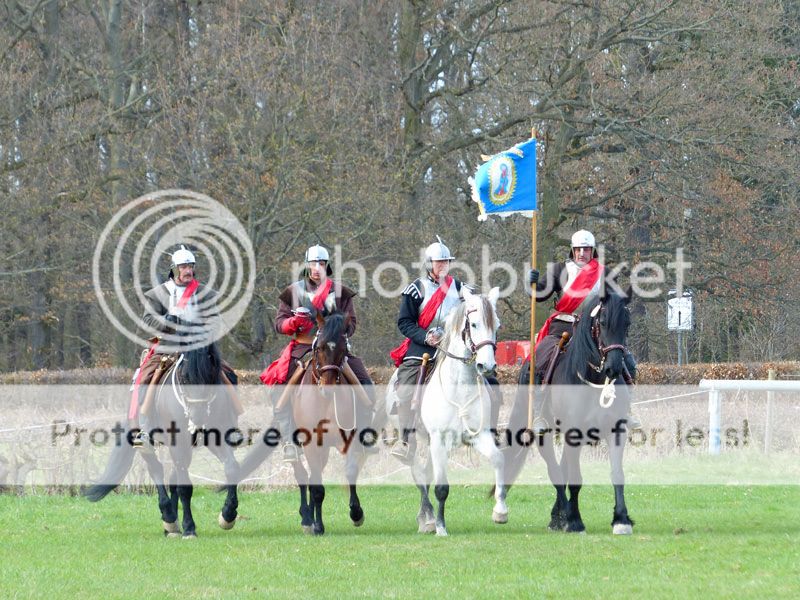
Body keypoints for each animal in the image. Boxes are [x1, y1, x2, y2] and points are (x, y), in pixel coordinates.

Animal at [85, 342, 241, 540]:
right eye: (185, 376)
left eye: (211, 373)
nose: (198, 416)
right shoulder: (178, 444)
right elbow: (184, 487)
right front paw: (189, 528)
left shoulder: (215, 438)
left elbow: (232, 469)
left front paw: (228, 515)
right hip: (148, 443)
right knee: (156, 470)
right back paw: (169, 518)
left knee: (173, 478)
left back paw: (172, 525)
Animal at [382, 288, 506, 536]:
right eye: (474, 324)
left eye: (496, 325)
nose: (487, 367)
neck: (460, 388)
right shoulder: (439, 438)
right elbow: (441, 487)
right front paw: (441, 526)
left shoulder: (479, 435)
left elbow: (498, 460)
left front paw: (500, 511)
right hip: (416, 439)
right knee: (418, 473)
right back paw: (429, 518)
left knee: (425, 472)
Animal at [504, 290, 636, 536]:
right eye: (603, 322)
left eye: (627, 323)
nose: (613, 368)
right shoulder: (572, 433)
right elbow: (574, 478)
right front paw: (574, 520)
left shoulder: (616, 431)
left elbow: (617, 474)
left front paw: (621, 519)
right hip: (544, 432)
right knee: (555, 470)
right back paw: (563, 515)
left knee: (562, 467)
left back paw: (557, 516)